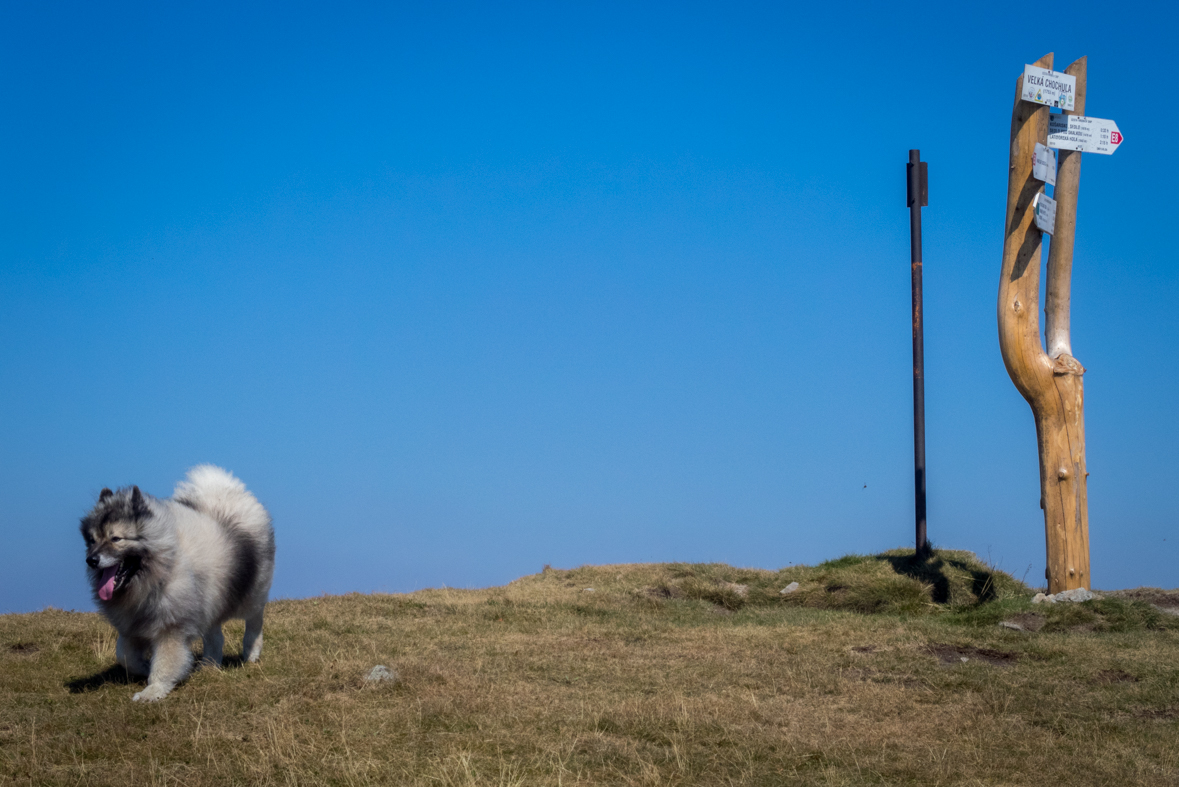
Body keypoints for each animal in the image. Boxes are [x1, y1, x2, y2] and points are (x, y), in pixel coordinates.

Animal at [79, 466, 274, 702]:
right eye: (92, 540)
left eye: (116, 539)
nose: (91, 560)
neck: (162, 565)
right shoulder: (133, 625)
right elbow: (125, 655)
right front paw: (144, 667)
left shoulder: (170, 626)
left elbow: (165, 662)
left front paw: (153, 690)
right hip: (211, 600)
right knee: (215, 637)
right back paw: (209, 665)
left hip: (251, 593)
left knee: (255, 620)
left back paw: (251, 653)